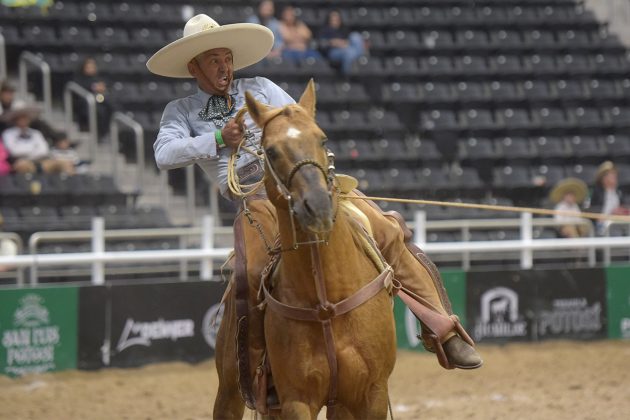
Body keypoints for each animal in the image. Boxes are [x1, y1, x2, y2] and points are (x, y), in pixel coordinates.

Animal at [215, 80, 398, 418]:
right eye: (270, 151)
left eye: (322, 138)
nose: (318, 206)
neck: (326, 300)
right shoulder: (296, 399)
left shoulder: (372, 394)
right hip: (230, 389)